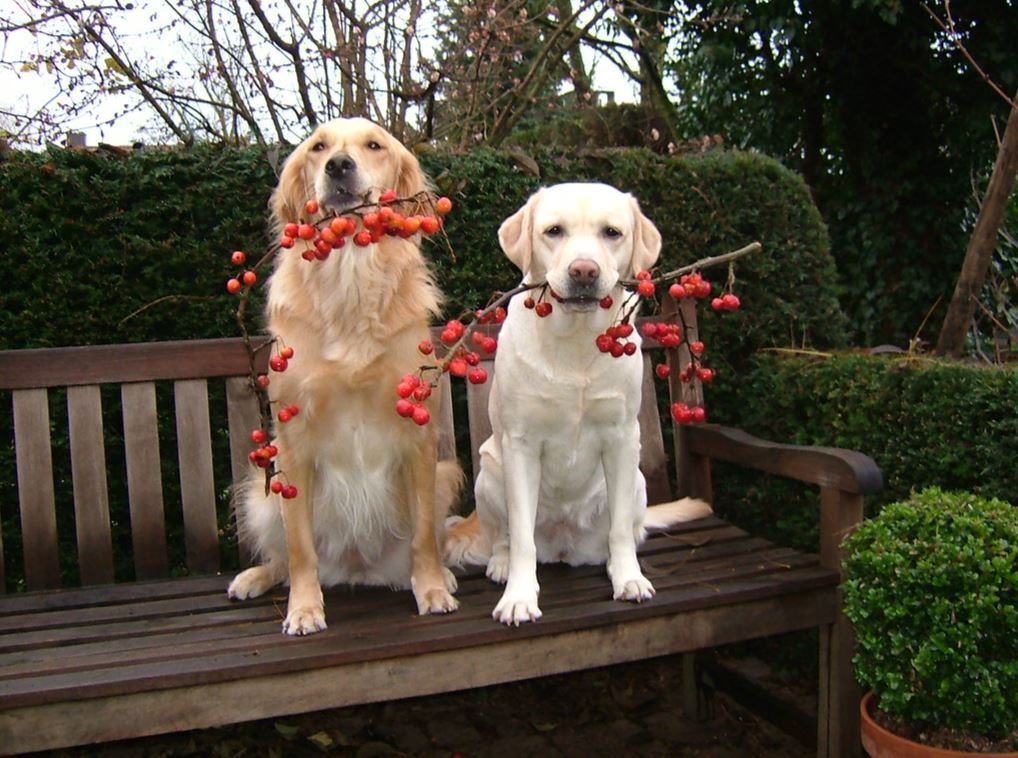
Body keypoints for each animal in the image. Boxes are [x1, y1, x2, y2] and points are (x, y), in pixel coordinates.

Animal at [230, 117, 462, 630]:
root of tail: (358, 572)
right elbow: (300, 548)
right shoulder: (293, 442)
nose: (338, 165)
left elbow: (423, 537)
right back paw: (255, 576)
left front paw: (431, 589)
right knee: (282, 555)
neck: (351, 274)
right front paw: (304, 608)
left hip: (443, 477)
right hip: (264, 495)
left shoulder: (419, 439)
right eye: (319, 148)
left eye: (374, 145)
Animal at [449, 185, 712, 626]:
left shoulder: (622, 440)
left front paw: (629, 579)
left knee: (628, 530)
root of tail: (564, 548)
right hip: (490, 471)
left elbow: (620, 530)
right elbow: (521, 539)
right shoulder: (521, 446)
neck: (575, 341)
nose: (584, 272)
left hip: (637, 481)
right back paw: (501, 564)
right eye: (554, 231)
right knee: (502, 537)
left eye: (612, 233)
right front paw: (519, 597)